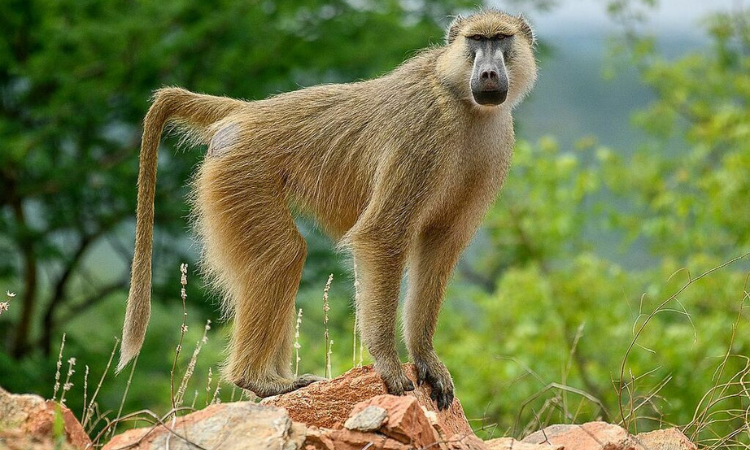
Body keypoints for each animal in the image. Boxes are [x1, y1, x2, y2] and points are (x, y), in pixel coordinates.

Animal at [118, 9, 537, 411]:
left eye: (500, 39)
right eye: (476, 40)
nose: (487, 73)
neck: (461, 100)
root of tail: (247, 113)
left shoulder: (494, 146)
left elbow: (440, 244)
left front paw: (425, 358)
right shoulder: (424, 134)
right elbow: (382, 235)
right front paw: (388, 363)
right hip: (241, 173)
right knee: (283, 254)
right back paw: (260, 380)